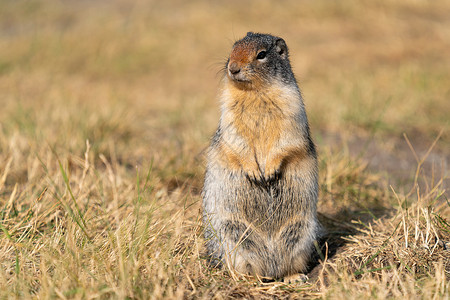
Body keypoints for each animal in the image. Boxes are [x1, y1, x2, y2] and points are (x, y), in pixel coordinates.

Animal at [202, 32, 318, 278]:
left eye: (262, 54)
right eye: (233, 48)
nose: (233, 68)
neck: (255, 93)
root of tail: (270, 269)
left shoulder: (292, 112)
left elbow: (286, 142)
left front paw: (270, 170)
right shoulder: (229, 116)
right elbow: (238, 142)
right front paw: (256, 173)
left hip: (301, 232)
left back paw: (294, 276)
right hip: (232, 234)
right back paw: (248, 278)